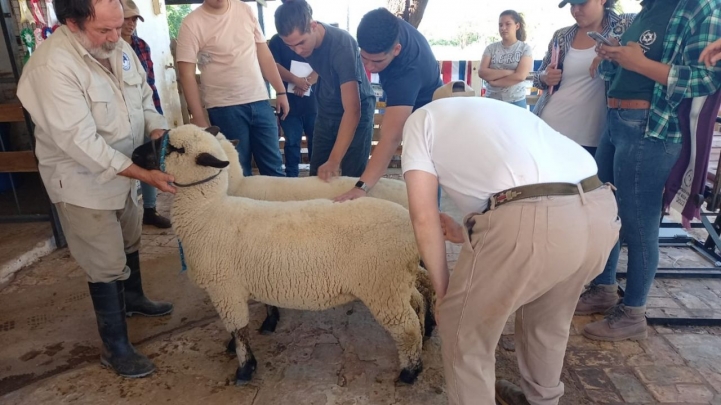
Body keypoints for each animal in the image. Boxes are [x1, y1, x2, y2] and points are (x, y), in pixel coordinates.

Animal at [132, 124, 430, 384]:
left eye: (175, 148)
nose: (134, 154)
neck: (208, 211)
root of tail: (409, 223)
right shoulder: (252, 279)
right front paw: (260, 329)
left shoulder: (224, 288)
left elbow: (238, 329)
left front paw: (245, 367)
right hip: (397, 282)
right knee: (417, 301)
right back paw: (425, 336)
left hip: (383, 286)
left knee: (407, 327)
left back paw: (410, 372)